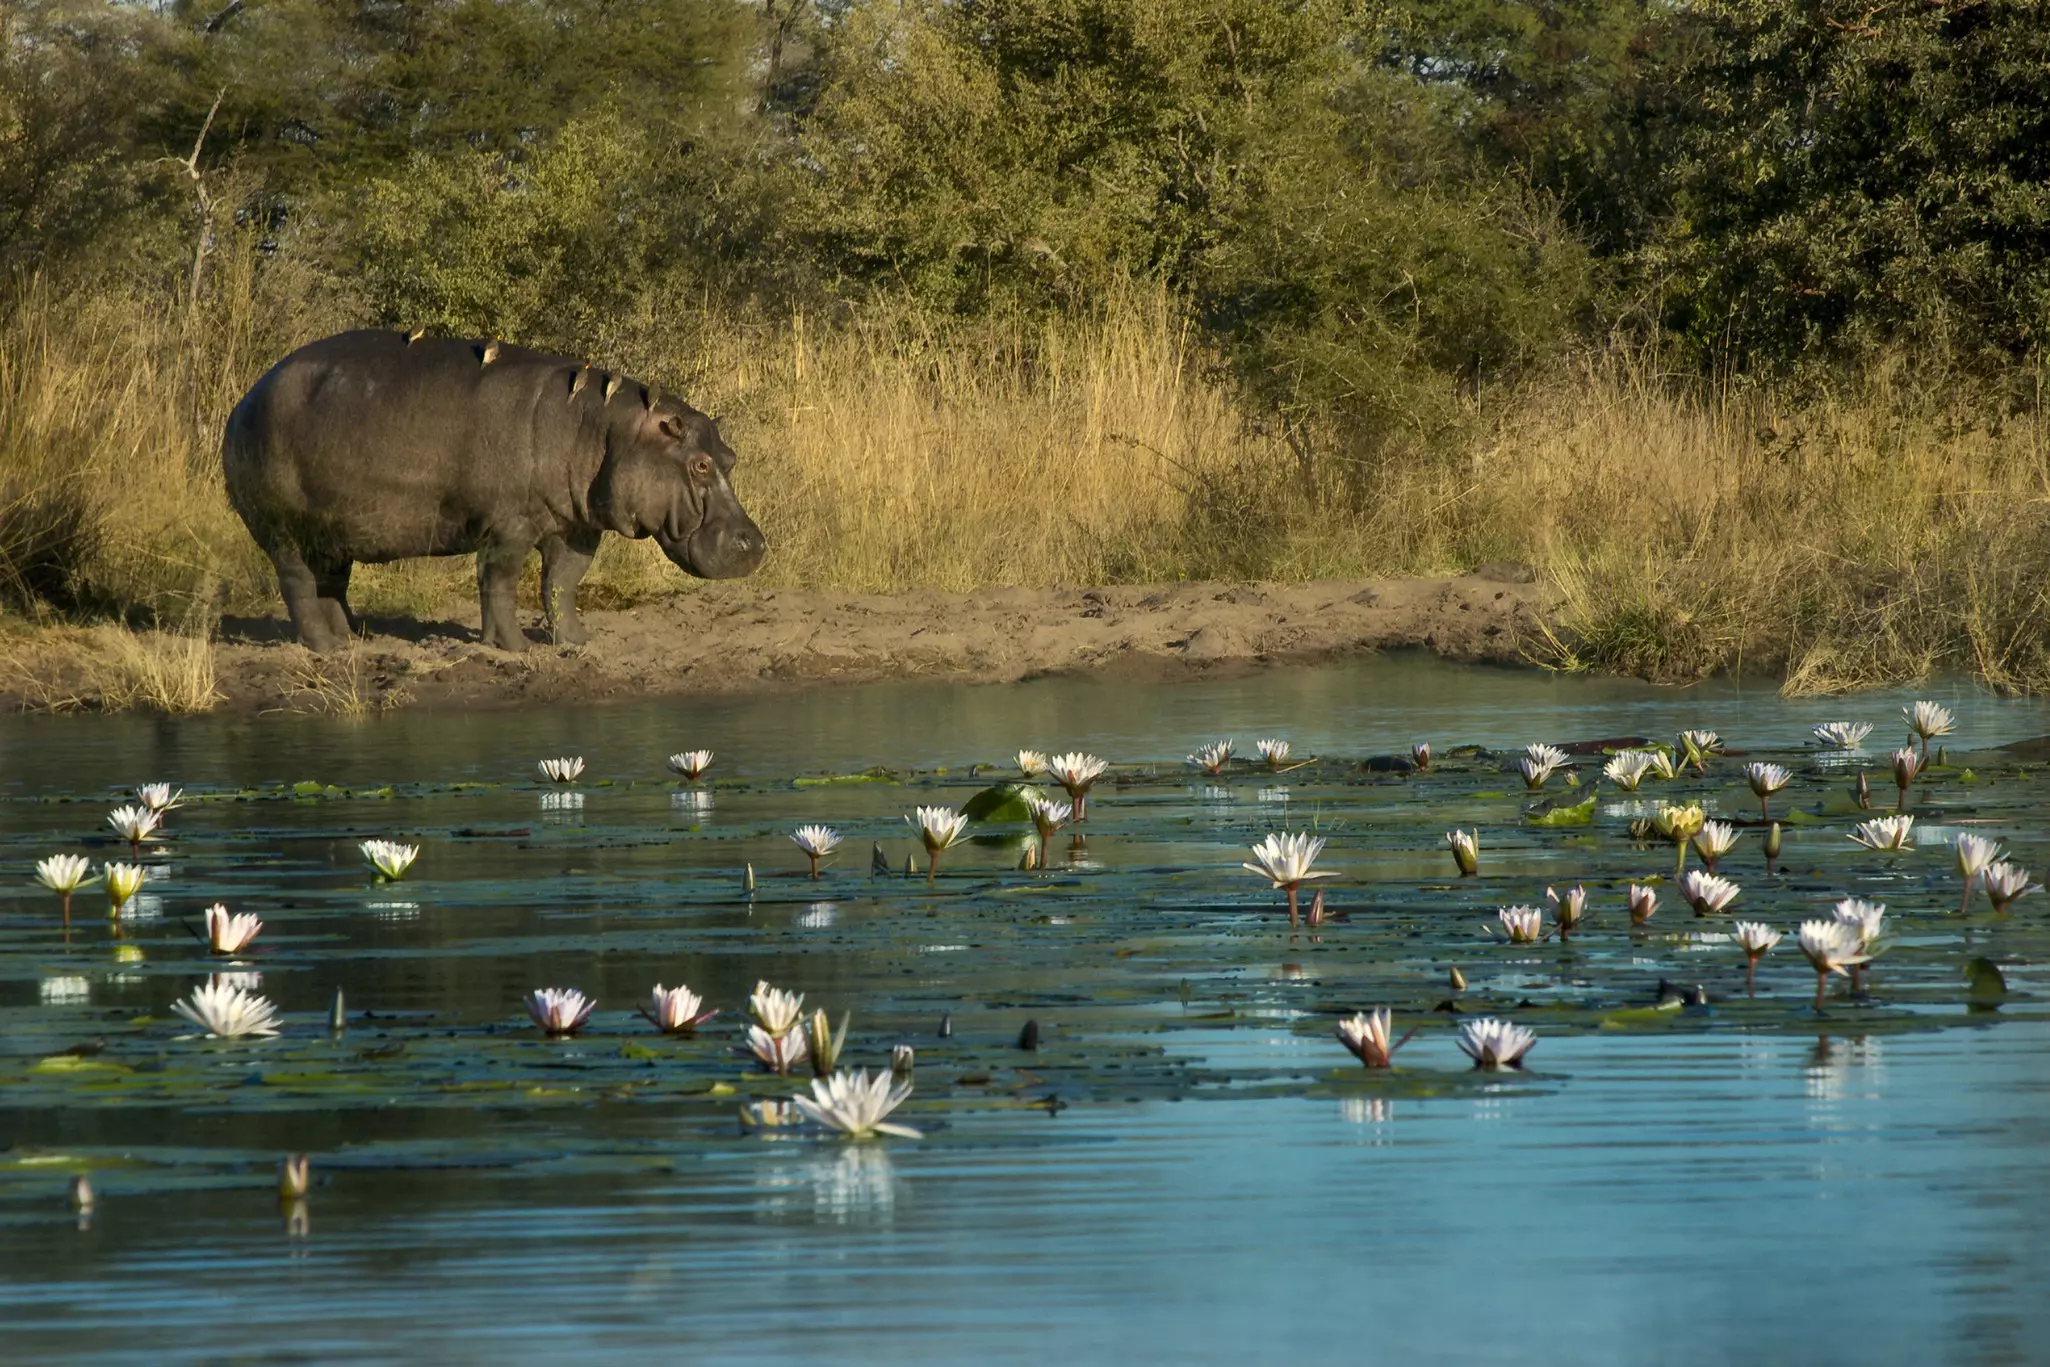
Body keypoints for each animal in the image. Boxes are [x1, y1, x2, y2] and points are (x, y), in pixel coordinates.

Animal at [222, 329, 766, 652]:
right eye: (698, 464)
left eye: (731, 457)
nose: (756, 542)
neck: (610, 429)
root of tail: (245, 398)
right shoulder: (509, 526)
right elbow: (500, 582)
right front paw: (514, 648)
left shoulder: (575, 526)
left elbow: (562, 583)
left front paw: (576, 642)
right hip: (281, 528)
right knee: (296, 582)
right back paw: (325, 648)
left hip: (333, 532)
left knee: (331, 584)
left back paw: (356, 638)